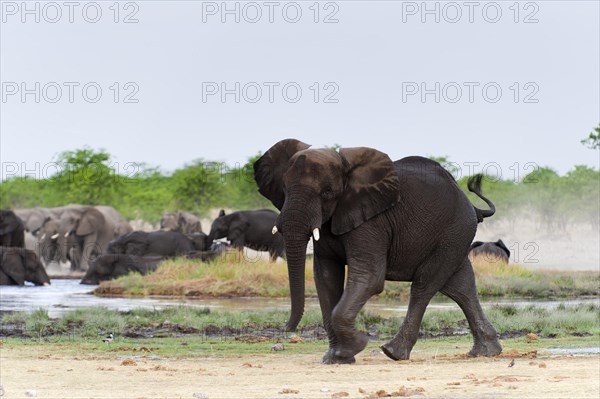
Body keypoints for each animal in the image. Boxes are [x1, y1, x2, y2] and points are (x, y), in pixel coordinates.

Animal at [253, 139, 502, 364]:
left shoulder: (371, 221)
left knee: (425, 284)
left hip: (454, 230)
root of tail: (471, 204)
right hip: (455, 236)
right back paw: (485, 352)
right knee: (460, 285)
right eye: (284, 190)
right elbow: (325, 279)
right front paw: (335, 359)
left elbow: (369, 277)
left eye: (327, 193)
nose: (287, 328)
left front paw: (355, 346)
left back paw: (393, 352)